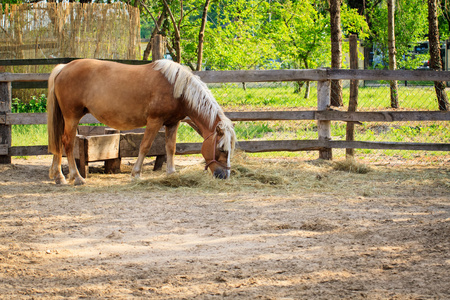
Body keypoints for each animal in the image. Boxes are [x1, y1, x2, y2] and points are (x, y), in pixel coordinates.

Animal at [46, 58, 236, 184]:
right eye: (221, 149)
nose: (224, 176)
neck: (176, 88)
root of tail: (64, 67)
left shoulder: (172, 123)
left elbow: (171, 148)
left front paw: (171, 173)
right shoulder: (155, 121)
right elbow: (145, 146)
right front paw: (136, 174)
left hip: (64, 118)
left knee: (59, 142)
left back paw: (59, 176)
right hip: (72, 117)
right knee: (68, 143)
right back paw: (76, 177)